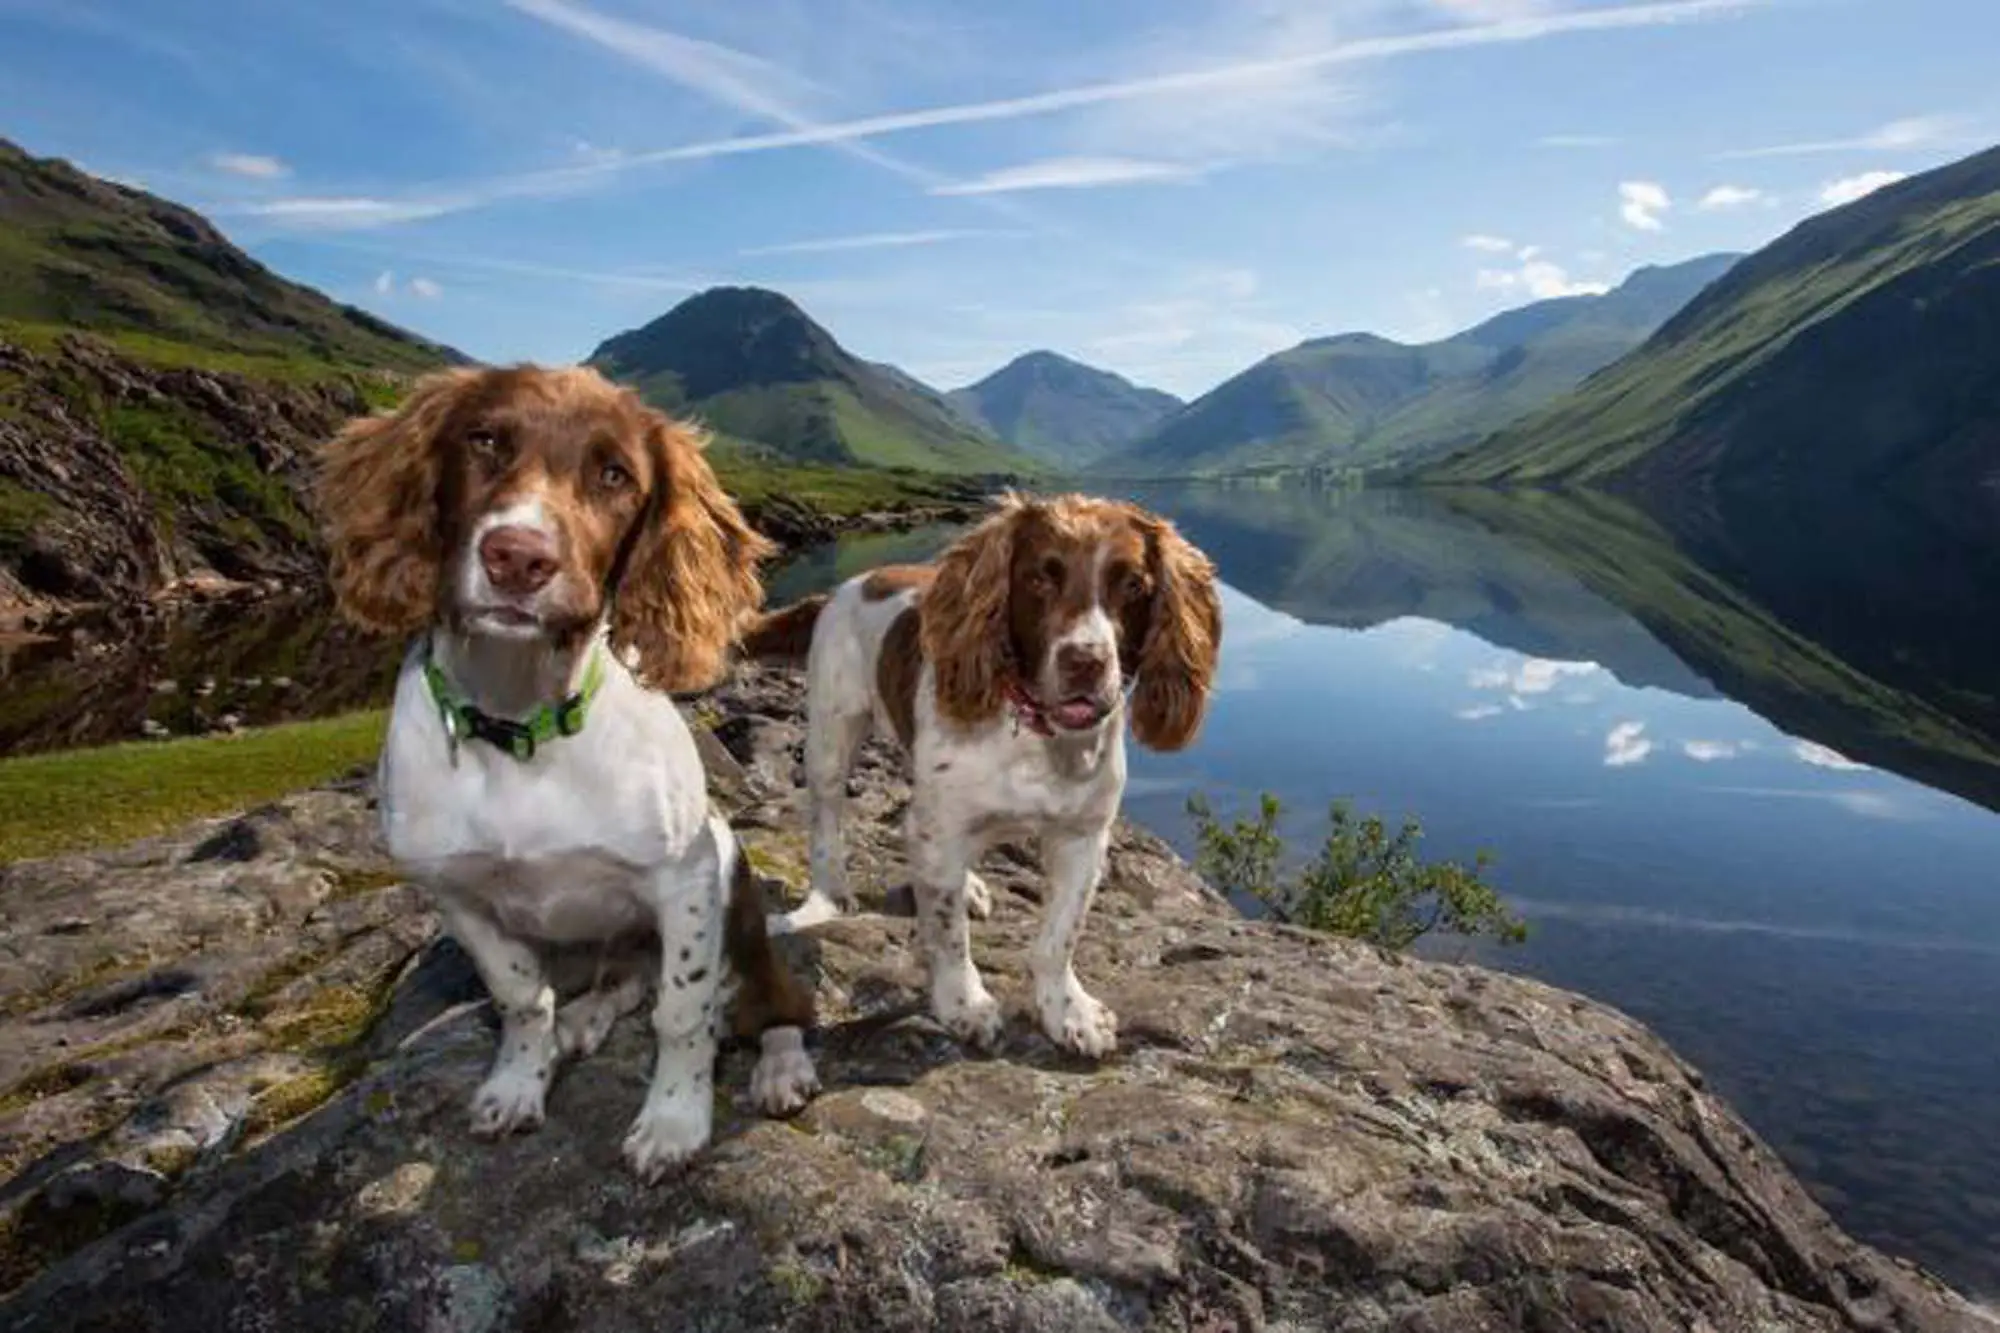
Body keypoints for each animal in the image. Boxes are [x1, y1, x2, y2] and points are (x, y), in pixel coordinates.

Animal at [316, 360, 816, 1176]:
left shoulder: (685, 882)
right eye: (483, 440)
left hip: (737, 902)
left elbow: (683, 1012)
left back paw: (780, 1067)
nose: (518, 558)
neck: (520, 724)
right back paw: (584, 1021)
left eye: (615, 475)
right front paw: (518, 1081)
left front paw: (674, 1119)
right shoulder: (457, 895)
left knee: (771, 1003)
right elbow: (520, 998)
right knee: (622, 985)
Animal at [744, 492, 1216, 1056]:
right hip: (831, 736)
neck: (1037, 735)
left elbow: (1060, 936)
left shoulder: (1083, 835)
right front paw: (963, 1003)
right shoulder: (944, 822)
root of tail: (844, 587)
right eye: (1039, 578)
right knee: (827, 820)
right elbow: (949, 933)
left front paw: (1068, 1011)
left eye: (1134, 585)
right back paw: (826, 899)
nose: (1085, 662)